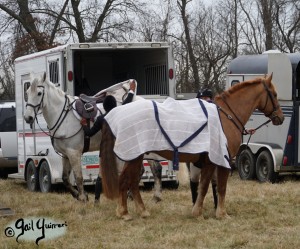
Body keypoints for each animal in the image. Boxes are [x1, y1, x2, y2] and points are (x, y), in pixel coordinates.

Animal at [100, 74, 284, 220]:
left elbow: (205, 186)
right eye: (274, 94)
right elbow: (219, 187)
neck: (225, 116)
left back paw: (140, 211)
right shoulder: (221, 161)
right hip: (134, 157)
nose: (280, 118)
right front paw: (220, 214)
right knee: (126, 181)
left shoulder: (209, 162)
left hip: (135, 158)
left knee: (130, 182)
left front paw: (199, 212)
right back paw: (125, 213)